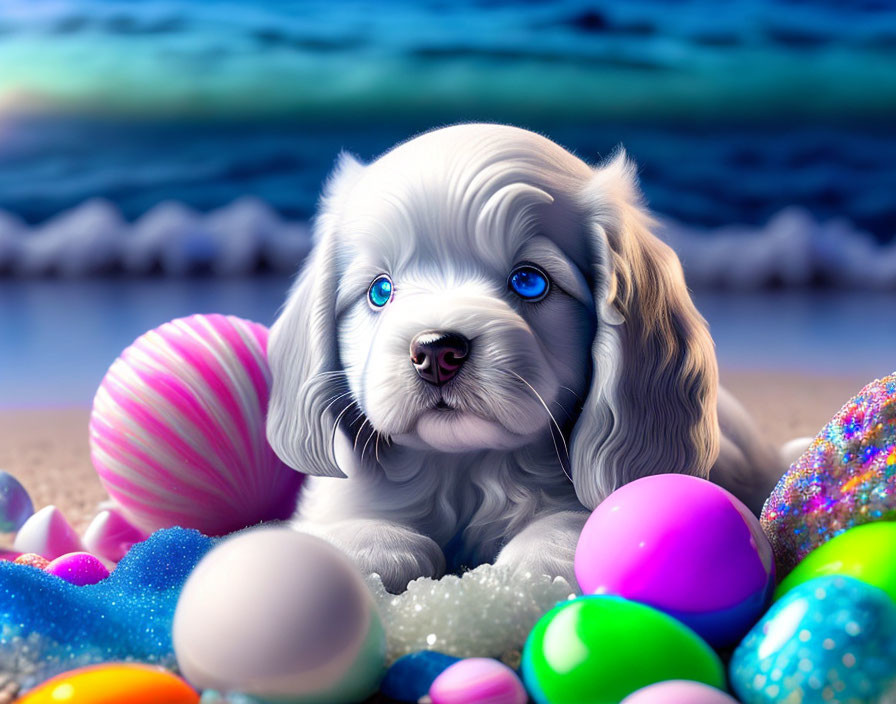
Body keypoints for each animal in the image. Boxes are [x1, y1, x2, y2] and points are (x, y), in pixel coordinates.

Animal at [266, 122, 784, 592]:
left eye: (530, 282)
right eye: (379, 291)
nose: (436, 350)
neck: (466, 466)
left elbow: (572, 524)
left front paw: (524, 569)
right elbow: (343, 527)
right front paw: (375, 546)